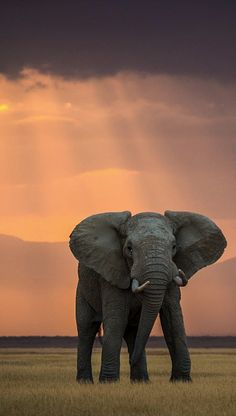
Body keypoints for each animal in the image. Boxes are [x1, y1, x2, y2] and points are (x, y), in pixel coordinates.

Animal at [69, 211, 227, 384]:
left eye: (174, 247)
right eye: (129, 248)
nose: (130, 361)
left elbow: (173, 317)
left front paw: (182, 381)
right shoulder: (111, 275)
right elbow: (117, 319)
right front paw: (108, 383)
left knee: (133, 331)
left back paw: (140, 381)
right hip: (82, 290)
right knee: (86, 329)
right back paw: (85, 382)